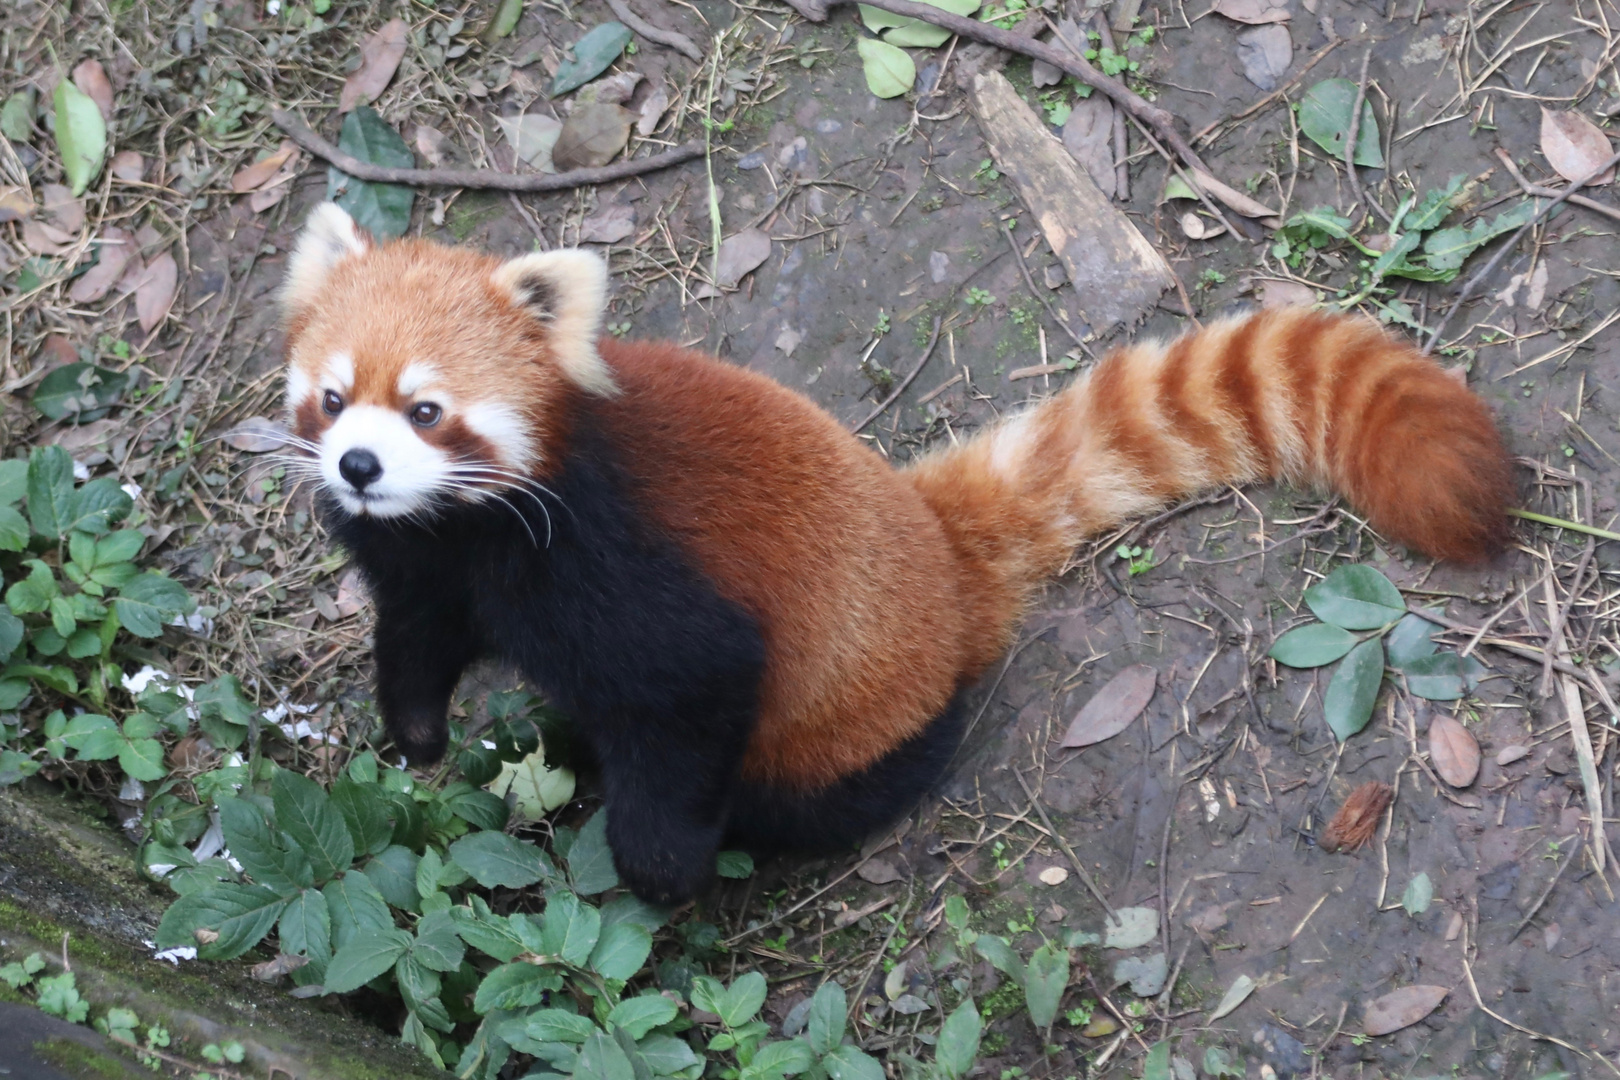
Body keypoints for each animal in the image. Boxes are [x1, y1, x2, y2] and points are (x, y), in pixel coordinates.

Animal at [275, 200, 1503, 906]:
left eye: (427, 410)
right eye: (332, 397)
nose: (360, 466)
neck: (467, 525)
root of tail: (937, 546)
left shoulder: (615, 560)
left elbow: (695, 688)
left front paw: (661, 875)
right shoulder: (429, 562)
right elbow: (419, 637)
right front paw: (416, 737)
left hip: (854, 726)